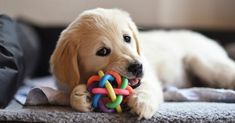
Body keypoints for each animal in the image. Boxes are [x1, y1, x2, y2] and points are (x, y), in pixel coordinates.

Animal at [49, 7, 235, 119]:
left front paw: (142, 102)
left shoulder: (149, 78)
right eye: (102, 52)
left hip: (202, 61)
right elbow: (70, 93)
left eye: (127, 38)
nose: (138, 67)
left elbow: (147, 88)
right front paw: (80, 96)